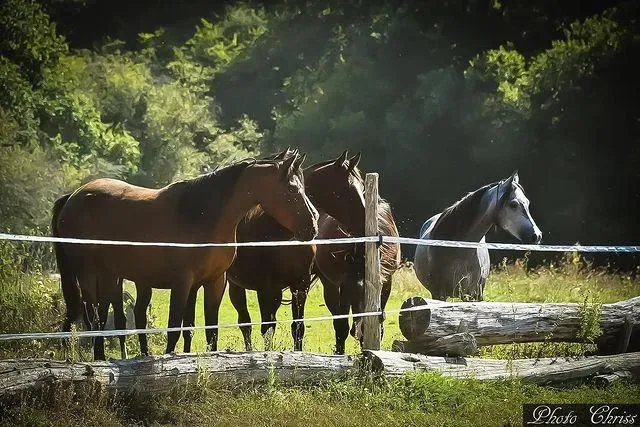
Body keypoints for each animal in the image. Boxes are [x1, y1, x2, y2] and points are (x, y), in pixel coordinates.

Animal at [52, 153, 319, 360]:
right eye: (293, 189)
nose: (313, 226)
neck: (203, 215)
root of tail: (74, 196)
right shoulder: (182, 283)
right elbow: (174, 328)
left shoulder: (214, 282)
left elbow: (209, 329)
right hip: (87, 273)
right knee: (92, 316)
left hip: (110, 275)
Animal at [201, 149, 365, 353]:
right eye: (346, 189)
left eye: (363, 187)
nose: (365, 223)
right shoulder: (265, 288)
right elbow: (267, 328)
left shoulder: (299, 285)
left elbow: (298, 328)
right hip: (235, 286)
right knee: (245, 323)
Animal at [314, 196, 401, 354]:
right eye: (352, 293)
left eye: (373, 291)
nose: (361, 329)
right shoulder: (342, 285)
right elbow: (341, 325)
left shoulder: (387, 281)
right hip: (330, 286)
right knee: (339, 322)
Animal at [413, 171, 542, 301]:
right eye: (513, 204)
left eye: (527, 203)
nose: (537, 236)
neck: (457, 249)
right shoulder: (439, 294)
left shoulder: (474, 295)